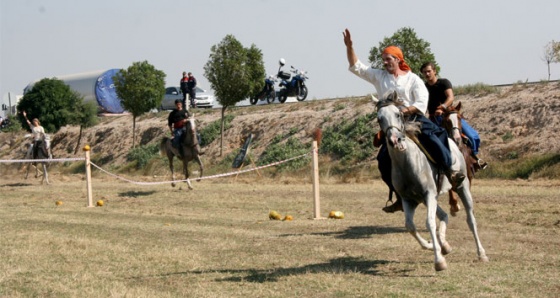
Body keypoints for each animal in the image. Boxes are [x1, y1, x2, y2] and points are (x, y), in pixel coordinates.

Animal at [374, 92, 488, 272]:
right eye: (379, 119)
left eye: (398, 114)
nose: (394, 140)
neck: (408, 163)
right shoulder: (409, 199)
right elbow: (410, 226)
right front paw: (430, 245)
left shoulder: (428, 194)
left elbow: (429, 223)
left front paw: (439, 261)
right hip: (428, 198)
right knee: (443, 215)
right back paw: (444, 245)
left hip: (461, 187)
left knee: (470, 219)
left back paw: (481, 253)